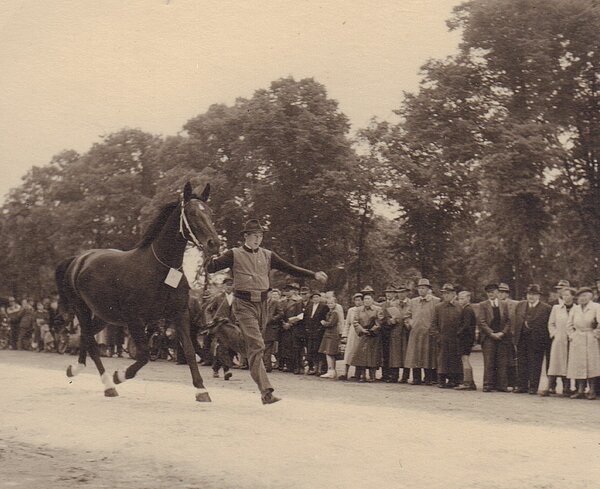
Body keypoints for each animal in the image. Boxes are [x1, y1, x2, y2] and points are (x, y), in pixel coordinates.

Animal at [55, 181, 220, 402]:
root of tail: (78, 259)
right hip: (81, 308)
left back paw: (75, 368)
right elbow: (144, 355)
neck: (161, 269)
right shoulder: (134, 318)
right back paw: (108, 385)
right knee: (91, 342)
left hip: (104, 315)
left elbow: (189, 350)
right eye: (192, 213)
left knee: (86, 337)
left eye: (210, 212)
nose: (214, 243)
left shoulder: (180, 314)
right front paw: (119, 375)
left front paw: (201, 390)